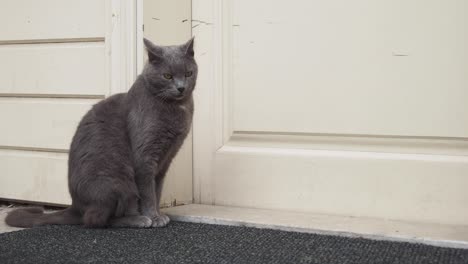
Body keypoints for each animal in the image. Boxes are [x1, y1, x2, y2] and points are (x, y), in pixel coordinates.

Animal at [5, 37, 197, 229]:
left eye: (188, 73)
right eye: (167, 76)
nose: (181, 87)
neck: (178, 107)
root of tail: (75, 205)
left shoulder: (165, 160)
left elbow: (157, 190)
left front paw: (158, 214)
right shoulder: (145, 158)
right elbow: (148, 192)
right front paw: (153, 217)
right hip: (117, 182)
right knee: (96, 219)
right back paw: (137, 219)